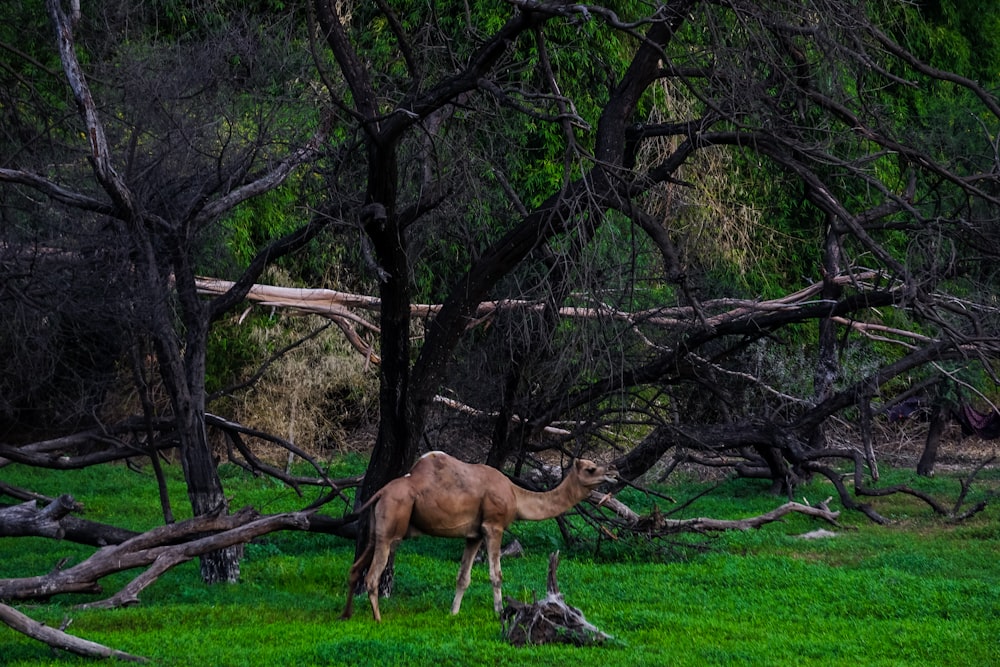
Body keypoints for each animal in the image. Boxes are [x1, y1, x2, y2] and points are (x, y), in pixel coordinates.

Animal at [340, 452, 612, 624]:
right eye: (591, 469)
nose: (613, 473)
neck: (515, 495)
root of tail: (380, 493)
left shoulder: (474, 535)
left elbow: (463, 577)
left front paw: (453, 613)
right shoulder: (493, 526)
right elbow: (496, 575)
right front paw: (500, 613)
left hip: (377, 530)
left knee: (355, 568)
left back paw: (346, 615)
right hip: (391, 528)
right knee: (373, 576)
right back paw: (377, 618)